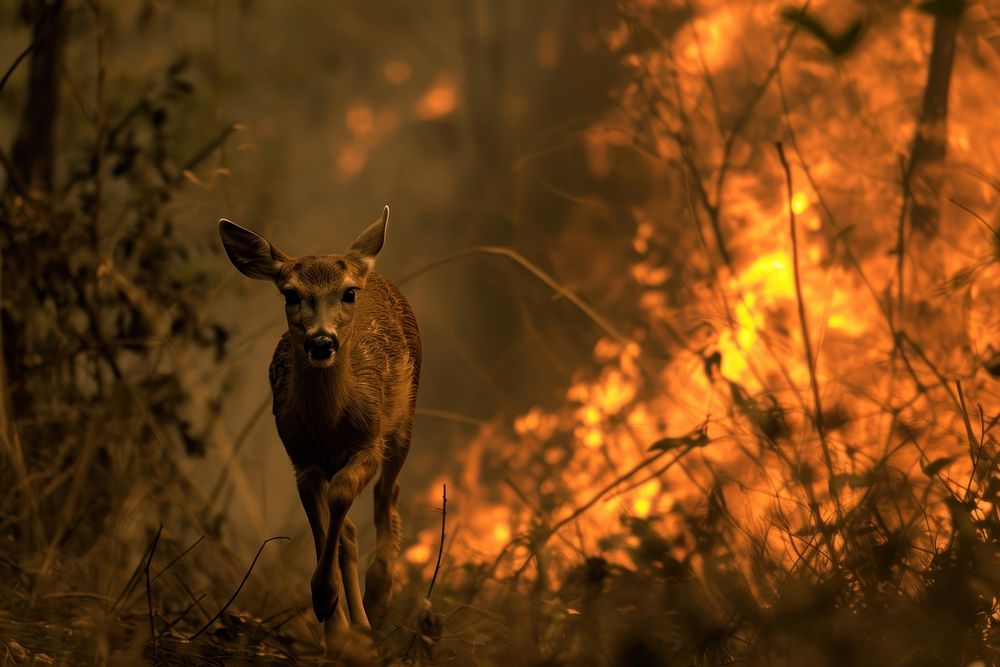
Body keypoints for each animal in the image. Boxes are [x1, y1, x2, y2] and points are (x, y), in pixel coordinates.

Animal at [217, 205, 420, 652]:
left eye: (347, 294)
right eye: (290, 294)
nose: (322, 342)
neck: (329, 426)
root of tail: (369, 265)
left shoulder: (368, 442)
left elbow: (344, 495)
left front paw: (331, 600)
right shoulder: (302, 460)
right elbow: (328, 525)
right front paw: (332, 618)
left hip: (403, 421)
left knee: (388, 492)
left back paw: (379, 597)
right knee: (349, 530)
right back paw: (358, 627)